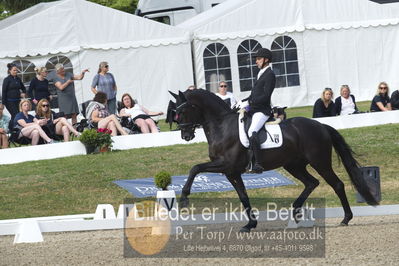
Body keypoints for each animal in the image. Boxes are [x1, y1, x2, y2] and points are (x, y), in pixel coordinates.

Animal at [170, 89, 380, 231]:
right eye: (176, 112)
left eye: (184, 110)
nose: (185, 135)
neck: (222, 126)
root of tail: (320, 125)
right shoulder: (231, 172)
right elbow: (243, 196)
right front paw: (250, 224)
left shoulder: (226, 165)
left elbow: (195, 168)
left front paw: (184, 198)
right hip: (293, 165)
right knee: (312, 183)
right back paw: (295, 214)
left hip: (319, 162)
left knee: (336, 184)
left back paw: (345, 218)